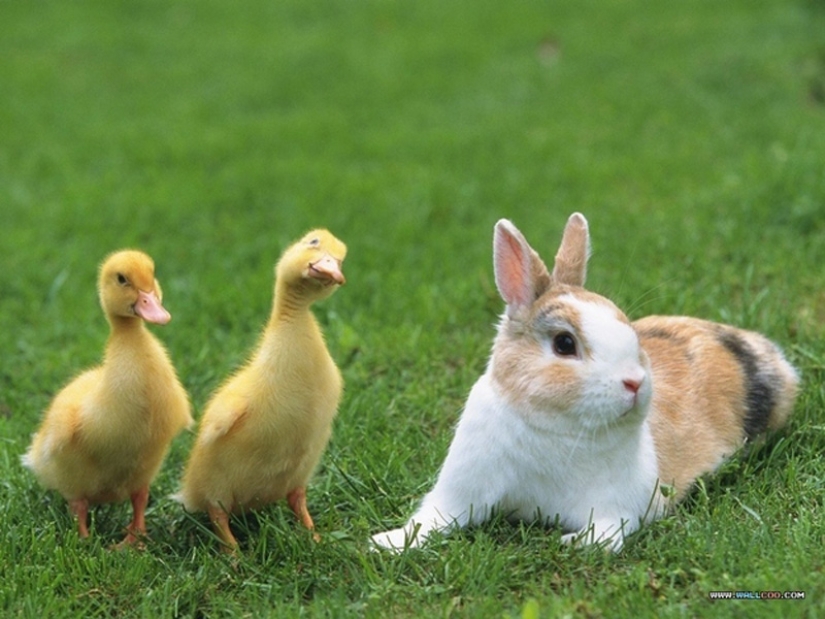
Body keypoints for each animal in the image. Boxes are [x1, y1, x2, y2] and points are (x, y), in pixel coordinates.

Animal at [374, 213, 800, 552]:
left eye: (627, 324)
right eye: (564, 343)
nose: (635, 383)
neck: (553, 427)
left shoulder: (619, 505)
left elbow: (608, 532)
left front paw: (574, 542)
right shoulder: (461, 490)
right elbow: (433, 517)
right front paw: (386, 542)